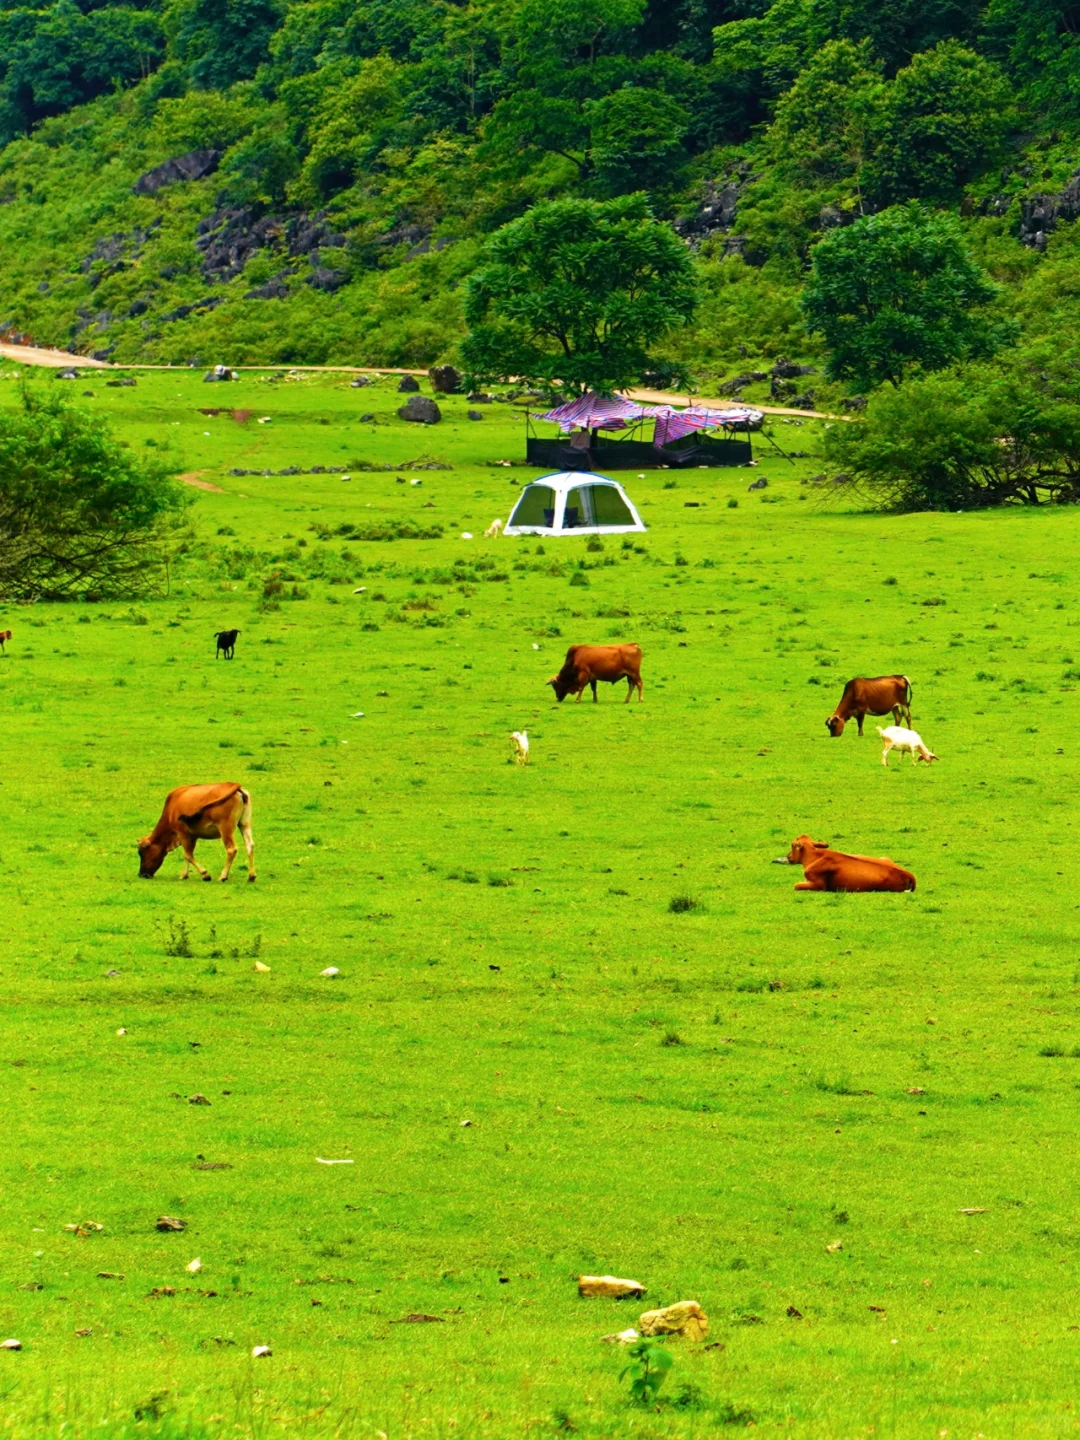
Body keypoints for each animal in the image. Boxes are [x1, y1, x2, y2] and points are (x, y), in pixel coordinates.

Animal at [771, 835, 915, 887]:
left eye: (792, 845)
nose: (788, 856)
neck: (815, 856)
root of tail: (908, 875)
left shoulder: (819, 885)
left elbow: (796, 885)